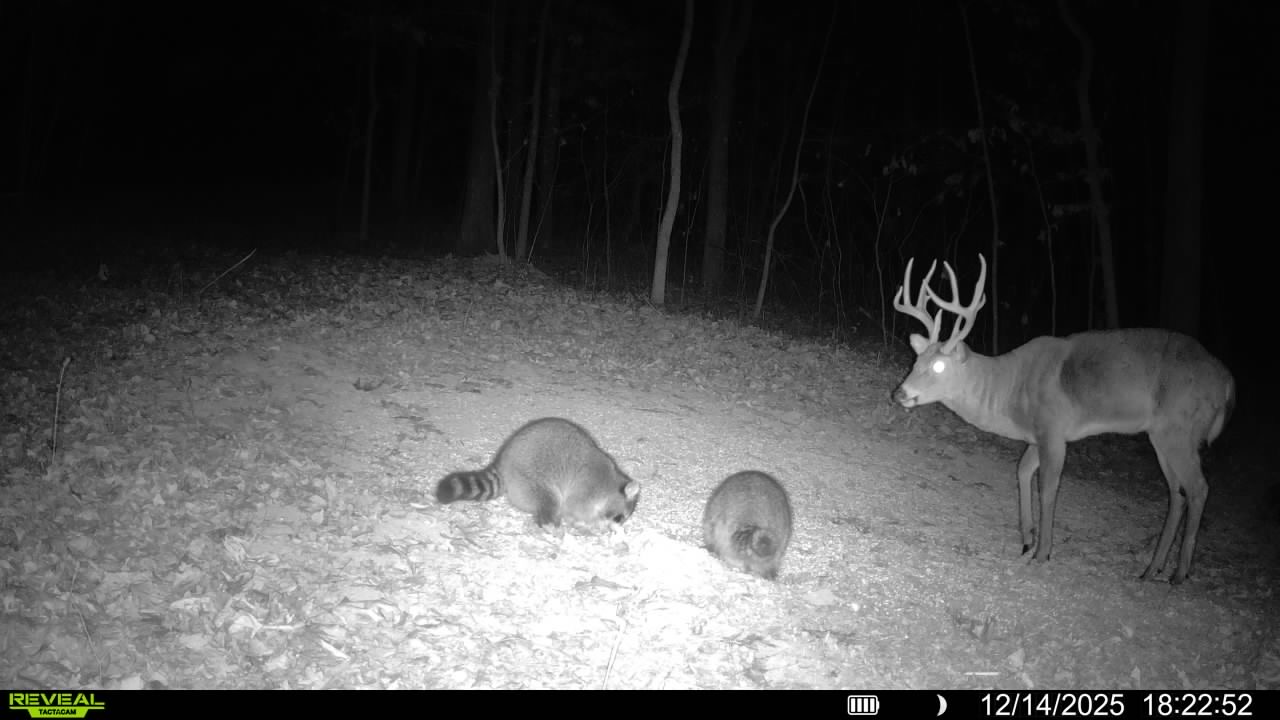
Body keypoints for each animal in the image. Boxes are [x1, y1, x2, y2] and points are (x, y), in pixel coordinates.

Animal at [892, 254, 1235, 584]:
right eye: (916, 360)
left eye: (938, 367)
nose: (899, 393)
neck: (1011, 390)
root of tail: (1228, 382)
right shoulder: (1036, 436)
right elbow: (1021, 471)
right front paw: (1026, 540)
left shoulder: (1053, 429)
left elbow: (1048, 487)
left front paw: (1042, 553)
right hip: (1163, 436)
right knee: (1177, 493)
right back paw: (1152, 570)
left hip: (1179, 428)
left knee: (1199, 487)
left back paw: (1179, 574)